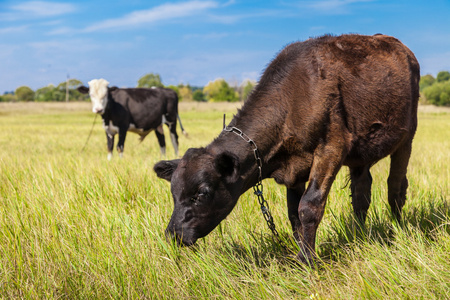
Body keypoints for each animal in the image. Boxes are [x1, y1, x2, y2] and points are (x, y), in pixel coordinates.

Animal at [153, 35, 420, 264]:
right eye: (173, 193)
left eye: (202, 193)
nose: (173, 235)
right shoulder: (295, 166)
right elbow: (294, 214)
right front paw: (301, 252)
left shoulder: (331, 148)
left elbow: (309, 205)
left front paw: (307, 260)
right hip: (360, 155)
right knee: (362, 193)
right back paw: (359, 235)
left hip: (406, 137)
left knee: (396, 188)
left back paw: (397, 229)